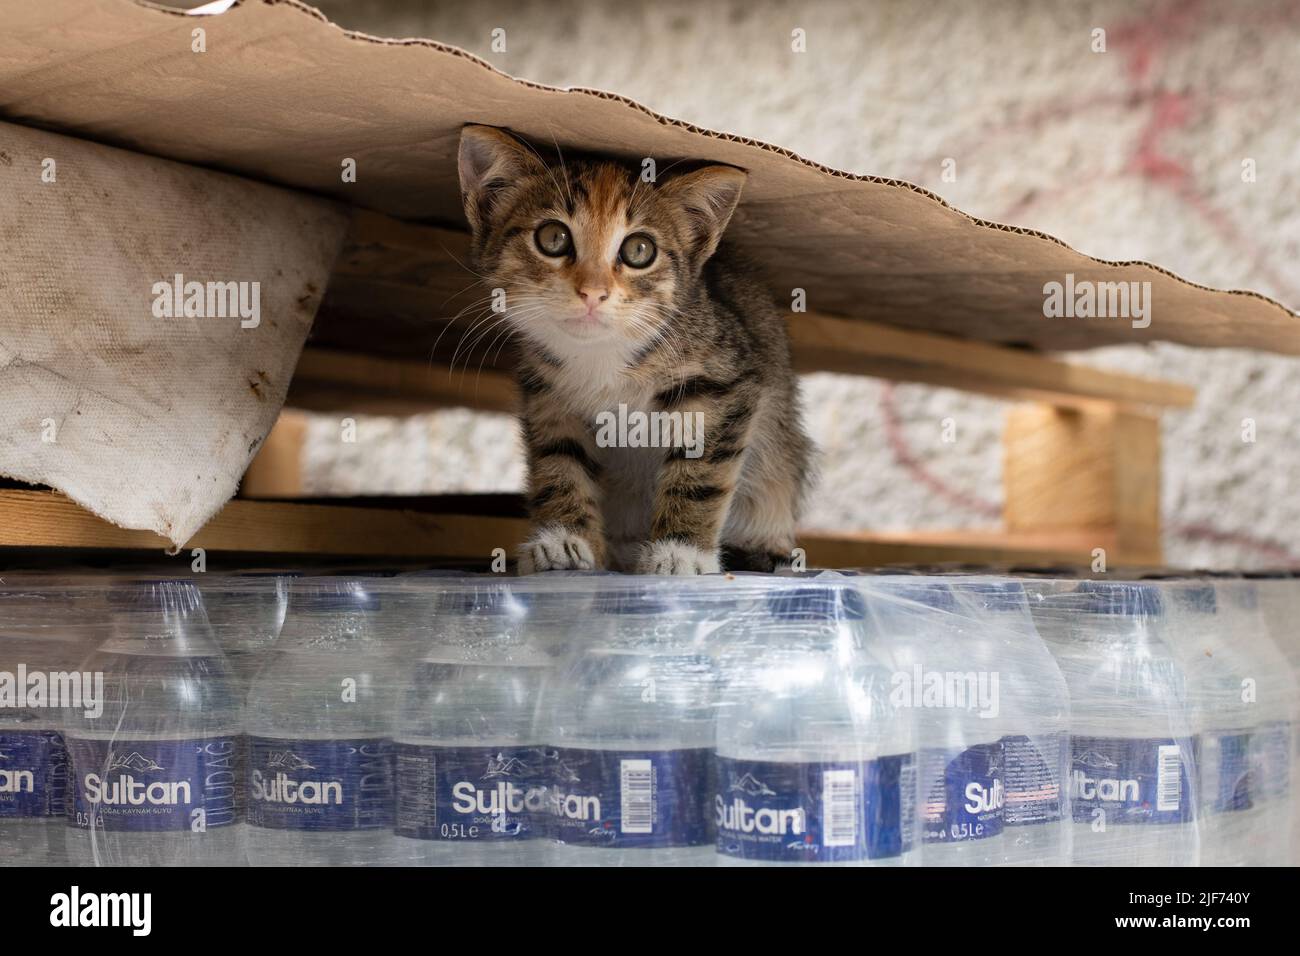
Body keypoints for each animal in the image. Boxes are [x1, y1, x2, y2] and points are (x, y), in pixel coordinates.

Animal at [452, 127, 806, 574]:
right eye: (552, 238)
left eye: (639, 250)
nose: (592, 292)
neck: (602, 357)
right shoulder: (548, 393)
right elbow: (559, 459)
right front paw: (564, 540)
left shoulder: (725, 381)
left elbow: (700, 471)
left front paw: (681, 552)